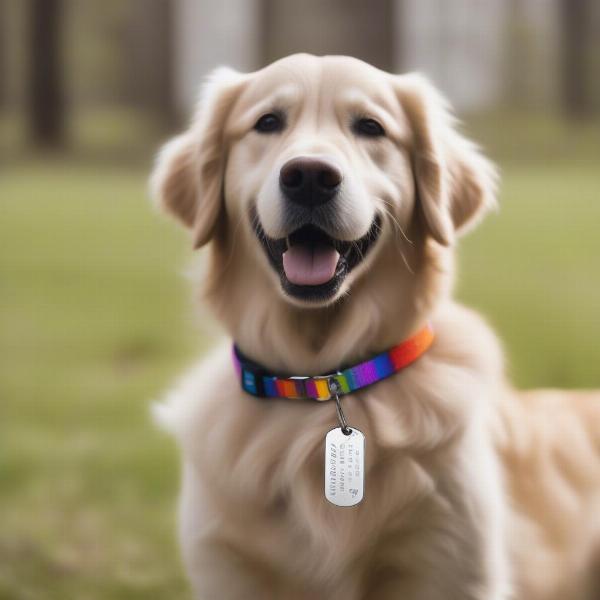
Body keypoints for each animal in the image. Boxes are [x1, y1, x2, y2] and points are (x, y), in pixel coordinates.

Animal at [151, 54, 600, 596]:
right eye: (267, 122)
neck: (320, 379)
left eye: (370, 127)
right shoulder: (228, 566)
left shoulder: (448, 563)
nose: (309, 176)